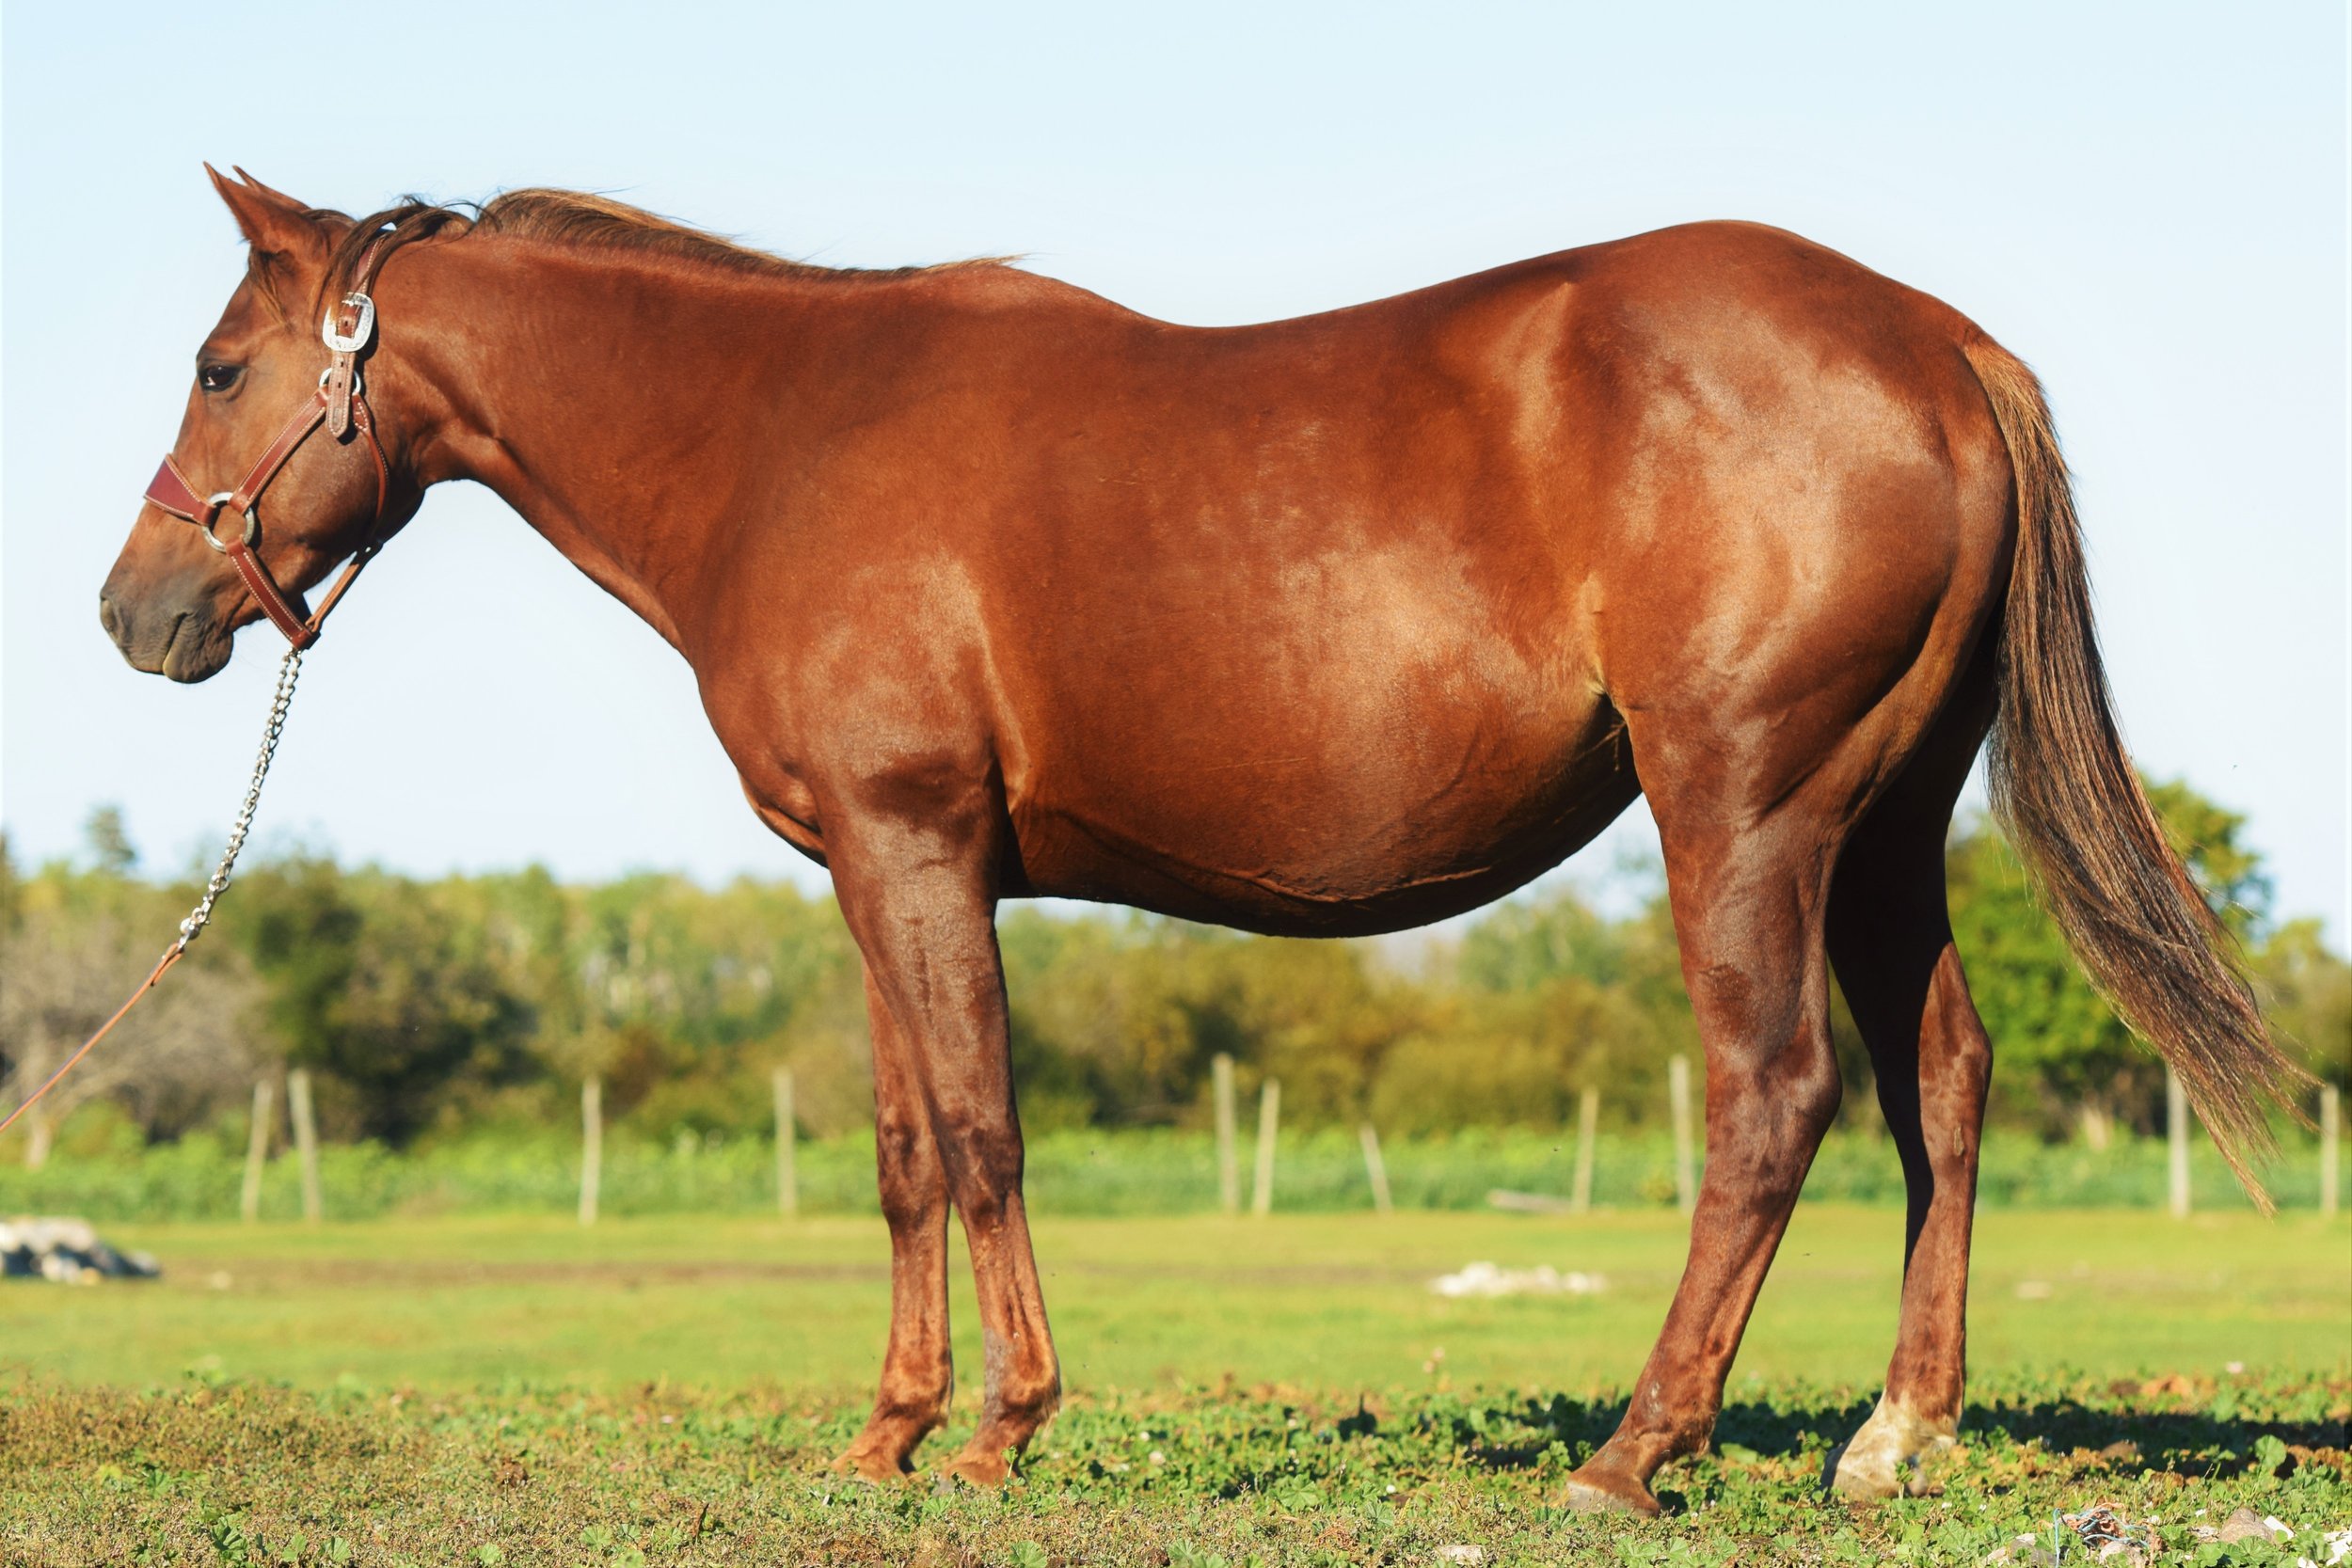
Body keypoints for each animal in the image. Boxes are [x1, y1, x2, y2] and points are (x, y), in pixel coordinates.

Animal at [102, 168, 2299, 1513]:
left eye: (220, 363)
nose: (138, 613)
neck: (783, 437)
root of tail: (1934, 340)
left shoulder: (917, 848)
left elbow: (982, 1127)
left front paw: (998, 1431)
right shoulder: (866, 870)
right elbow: (901, 1151)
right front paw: (882, 1436)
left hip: (1746, 809)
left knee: (1773, 1096)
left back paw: (1630, 1451)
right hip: (1886, 820)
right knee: (1945, 1077)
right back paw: (1891, 1436)